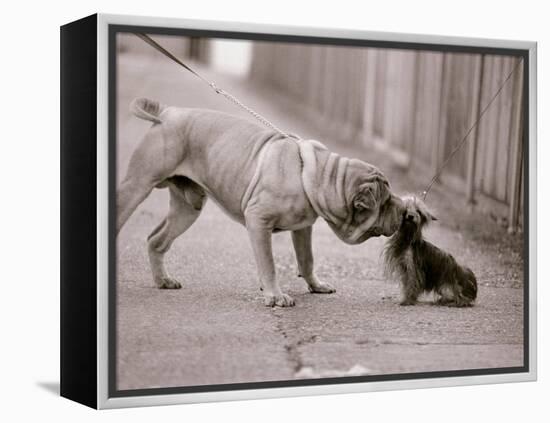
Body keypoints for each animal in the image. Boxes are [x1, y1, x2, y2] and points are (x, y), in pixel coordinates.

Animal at [119, 97, 406, 306]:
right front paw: (275, 295)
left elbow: (307, 259)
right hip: (137, 185)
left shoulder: (303, 228)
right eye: (386, 202)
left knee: (156, 240)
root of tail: (167, 112)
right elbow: (268, 263)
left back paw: (163, 280)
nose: (404, 208)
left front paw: (315, 285)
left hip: (188, 208)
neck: (321, 175)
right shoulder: (258, 220)